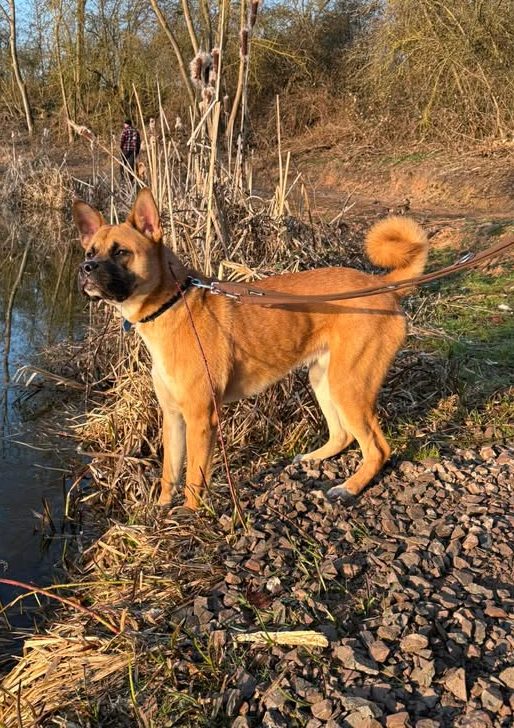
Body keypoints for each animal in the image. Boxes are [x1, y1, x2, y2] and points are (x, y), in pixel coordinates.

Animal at [73, 188, 428, 510]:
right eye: (90, 252)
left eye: (121, 252)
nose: (85, 269)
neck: (173, 303)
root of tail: (384, 287)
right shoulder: (173, 418)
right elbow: (169, 474)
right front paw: (161, 511)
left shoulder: (201, 418)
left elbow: (193, 479)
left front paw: (188, 516)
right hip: (323, 379)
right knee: (343, 435)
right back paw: (314, 458)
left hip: (348, 385)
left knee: (378, 449)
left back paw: (349, 488)